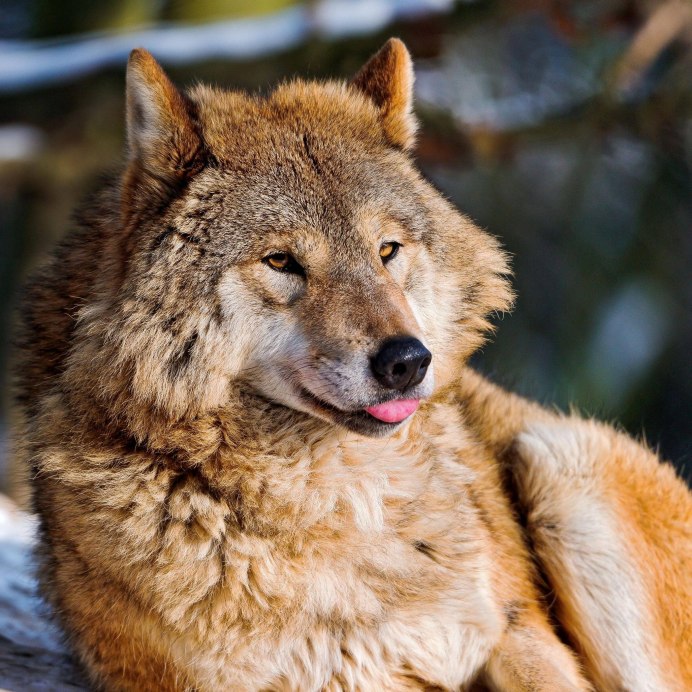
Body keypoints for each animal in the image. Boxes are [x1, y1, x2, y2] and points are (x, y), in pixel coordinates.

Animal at [14, 39, 691, 691]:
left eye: (386, 249)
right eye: (281, 261)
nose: (408, 361)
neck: (339, 504)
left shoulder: (511, 634)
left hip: (557, 459)